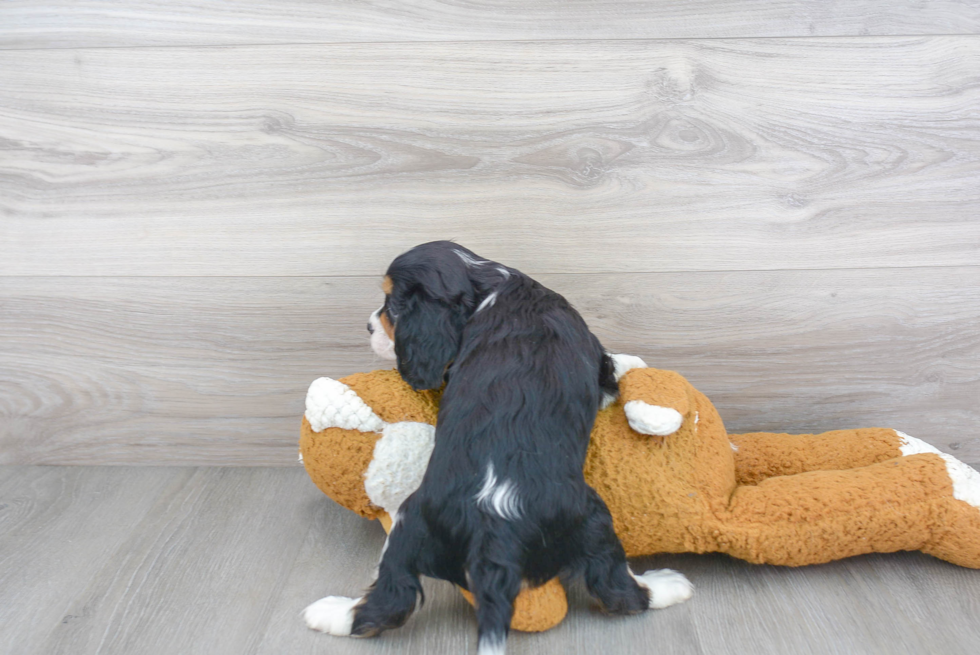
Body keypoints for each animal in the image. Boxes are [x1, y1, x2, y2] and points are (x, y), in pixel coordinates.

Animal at [304, 243, 688, 652]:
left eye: (391, 304)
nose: (368, 326)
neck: (489, 285)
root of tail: (493, 533)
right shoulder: (593, 353)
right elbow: (611, 369)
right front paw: (632, 364)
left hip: (410, 527)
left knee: (387, 601)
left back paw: (327, 613)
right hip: (593, 520)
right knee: (617, 589)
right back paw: (669, 585)